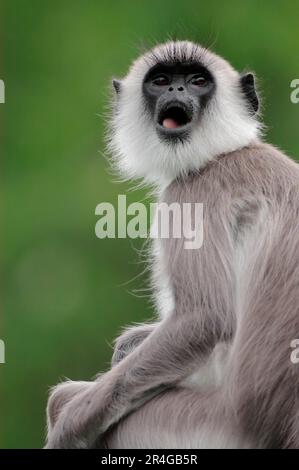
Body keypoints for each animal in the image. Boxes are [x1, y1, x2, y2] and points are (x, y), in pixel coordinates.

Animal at [44, 39, 299, 448]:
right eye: (161, 80)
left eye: (197, 81)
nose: (177, 90)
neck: (222, 154)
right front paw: (129, 343)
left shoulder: (192, 194)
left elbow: (204, 318)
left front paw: (71, 423)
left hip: (199, 427)